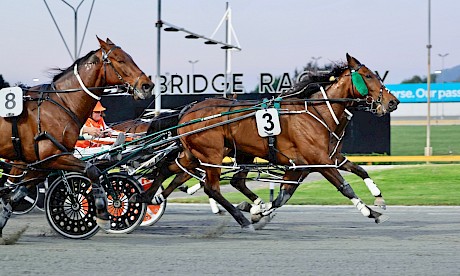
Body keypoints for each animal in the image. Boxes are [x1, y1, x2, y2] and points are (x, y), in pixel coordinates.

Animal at [0, 35, 155, 236]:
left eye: (130, 57)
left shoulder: (38, 163)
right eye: (120, 60)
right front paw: (102, 213)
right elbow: (92, 170)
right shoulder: (53, 157)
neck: (61, 103)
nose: (147, 86)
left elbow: (14, 194)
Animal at [167, 53, 398, 229]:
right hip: (212, 155)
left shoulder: (317, 161)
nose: (393, 102)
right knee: (212, 187)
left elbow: (359, 170)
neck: (318, 113)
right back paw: (241, 219)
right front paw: (371, 212)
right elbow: (345, 187)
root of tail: (187, 112)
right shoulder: (320, 162)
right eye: (368, 76)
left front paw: (379, 198)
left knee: (183, 174)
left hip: (210, 154)